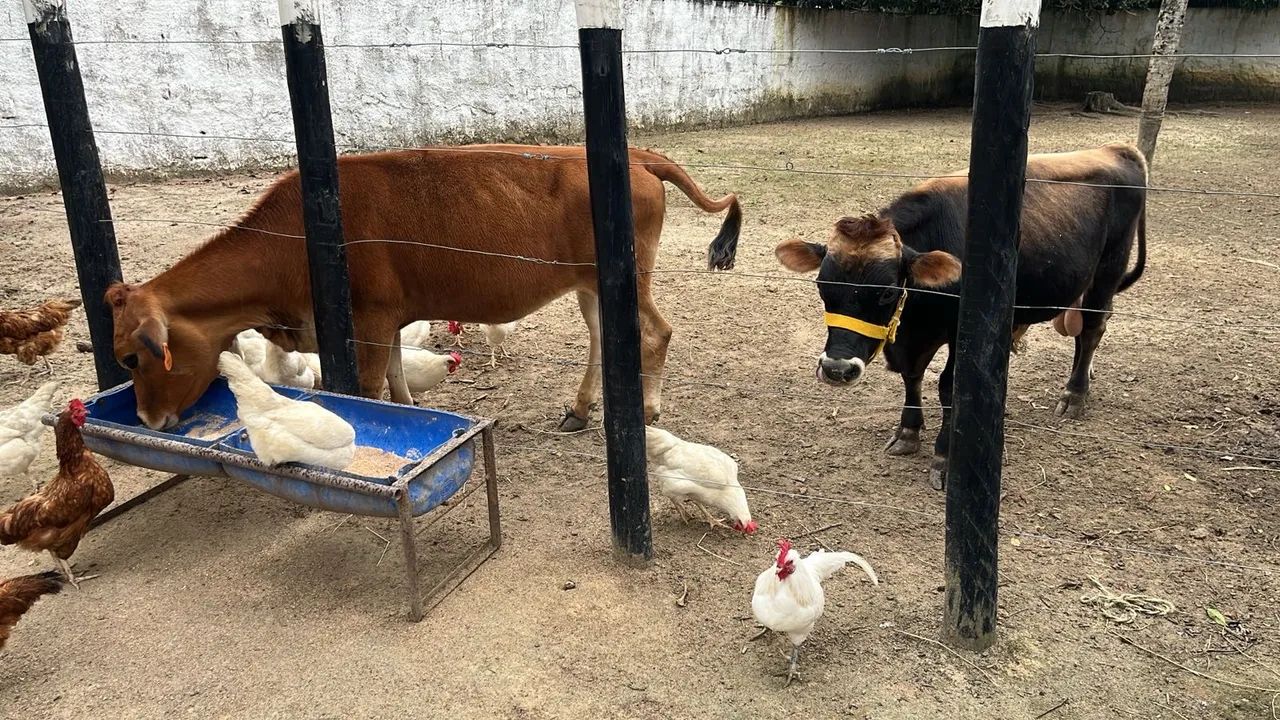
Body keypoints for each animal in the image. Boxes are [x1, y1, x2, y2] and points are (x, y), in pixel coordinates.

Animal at [106, 145, 741, 431]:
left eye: (132, 356)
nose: (146, 418)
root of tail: (641, 155)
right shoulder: (387, 318)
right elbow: (395, 376)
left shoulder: (365, 320)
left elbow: (367, 388)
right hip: (593, 285)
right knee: (604, 337)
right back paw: (580, 408)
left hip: (632, 278)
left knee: (657, 332)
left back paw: (649, 407)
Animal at [774, 143, 1147, 489]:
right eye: (822, 286)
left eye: (887, 292)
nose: (837, 369)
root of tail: (1117, 149)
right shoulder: (911, 340)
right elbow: (912, 376)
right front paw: (908, 431)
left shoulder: (960, 332)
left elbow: (949, 386)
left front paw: (944, 454)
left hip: (1108, 269)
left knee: (1092, 329)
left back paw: (1074, 394)